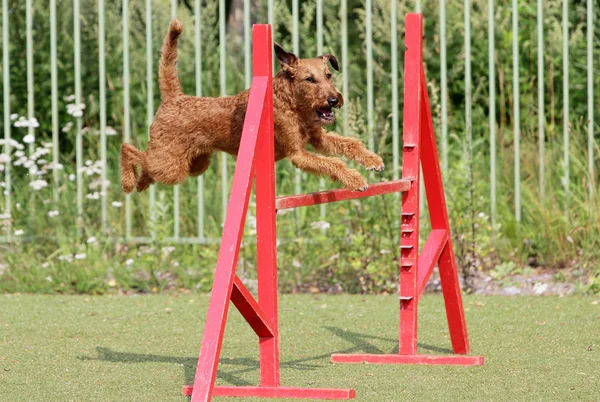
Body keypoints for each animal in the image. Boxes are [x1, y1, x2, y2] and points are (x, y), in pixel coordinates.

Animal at [120, 19, 384, 194]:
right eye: (309, 79)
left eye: (328, 75)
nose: (333, 100)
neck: (290, 103)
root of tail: (174, 97)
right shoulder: (298, 153)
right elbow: (333, 162)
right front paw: (356, 180)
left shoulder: (318, 139)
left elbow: (349, 144)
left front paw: (373, 160)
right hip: (170, 165)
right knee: (130, 150)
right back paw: (128, 182)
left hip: (194, 165)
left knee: (146, 165)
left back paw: (141, 183)